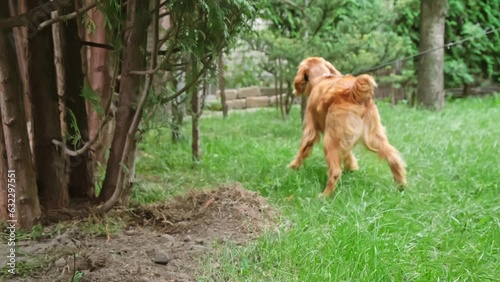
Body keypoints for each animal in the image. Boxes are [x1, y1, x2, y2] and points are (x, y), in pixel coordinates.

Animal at [290, 57, 406, 196]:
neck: (321, 77)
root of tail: (352, 93)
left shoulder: (310, 129)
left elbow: (302, 149)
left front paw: (294, 167)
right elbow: (348, 154)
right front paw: (351, 168)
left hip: (331, 140)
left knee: (335, 171)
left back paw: (325, 195)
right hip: (374, 135)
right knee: (394, 158)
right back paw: (401, 185)